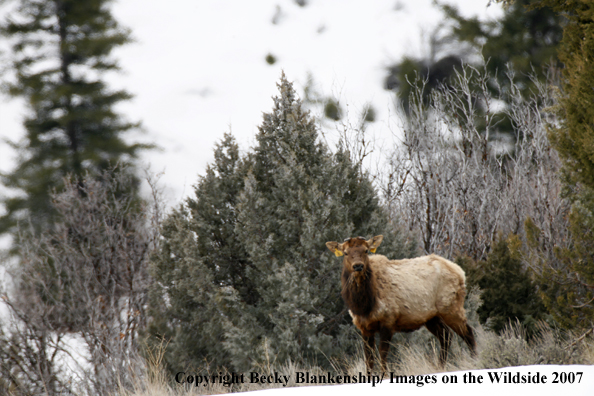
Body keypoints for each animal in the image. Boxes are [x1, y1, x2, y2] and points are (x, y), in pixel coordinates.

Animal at [326, 235, 474, 372]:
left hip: (452, 307)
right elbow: (369, 358)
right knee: (446, 335)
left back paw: (474, 359)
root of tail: (461, 272)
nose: (358, 266)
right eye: (345, 252)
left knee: (468, 332)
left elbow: (383, 353)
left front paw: (384, 375)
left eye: (366, 250)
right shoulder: (364, 327)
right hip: (431, 317)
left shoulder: (388, 320)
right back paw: (440, 367)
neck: (363, 306)